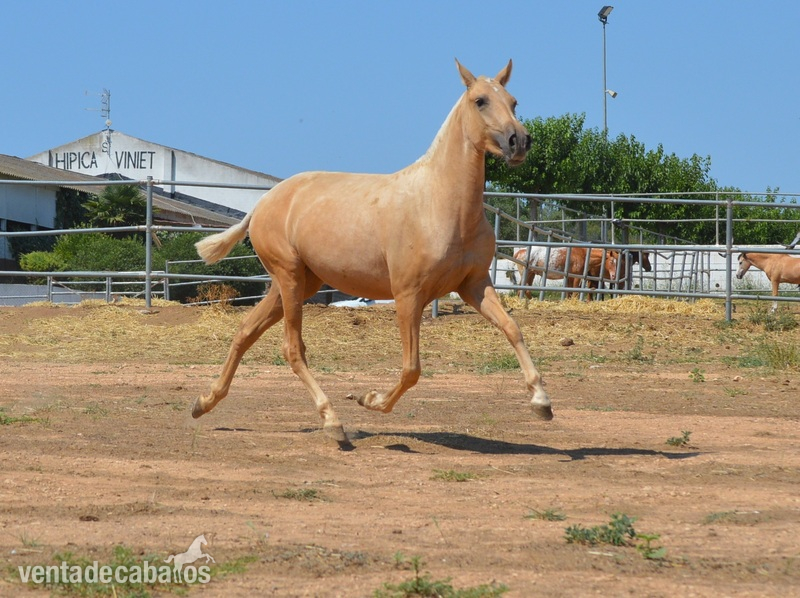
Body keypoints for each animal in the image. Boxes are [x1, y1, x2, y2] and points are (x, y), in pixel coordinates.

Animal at [192, 60, 552, 447]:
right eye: (480, 101)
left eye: (514, 102)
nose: (519, 141)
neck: (441, 204)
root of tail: (263, 202)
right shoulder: (409, 295)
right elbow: (411, 369)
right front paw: (369, 399)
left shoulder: (474, 285)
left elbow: (512, 328)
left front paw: (541, 402)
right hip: (289, 279)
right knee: (292, 349)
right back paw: (333, 423)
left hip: (301, 283)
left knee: (245, 331)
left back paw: (203, 402)